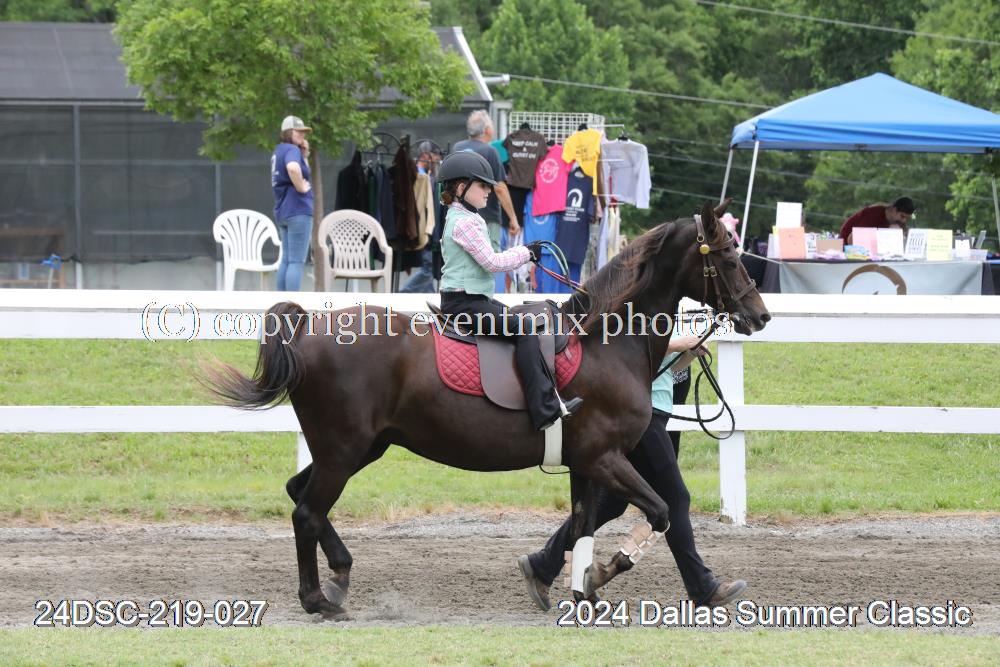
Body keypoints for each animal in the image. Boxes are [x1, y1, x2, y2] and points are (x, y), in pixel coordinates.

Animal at [204, 200, 770, 616]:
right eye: (727, 258)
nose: (760, 315)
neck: (605, 343)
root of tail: (306, 326)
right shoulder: (605, 457)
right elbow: (659, 513)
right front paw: (599, 574)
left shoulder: (586, 464)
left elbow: (583, 525)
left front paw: (578, 587)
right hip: (343, 452)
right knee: (306, 511)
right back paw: (318, 599)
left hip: (358, 449)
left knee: (300, 497)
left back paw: (340, 574)